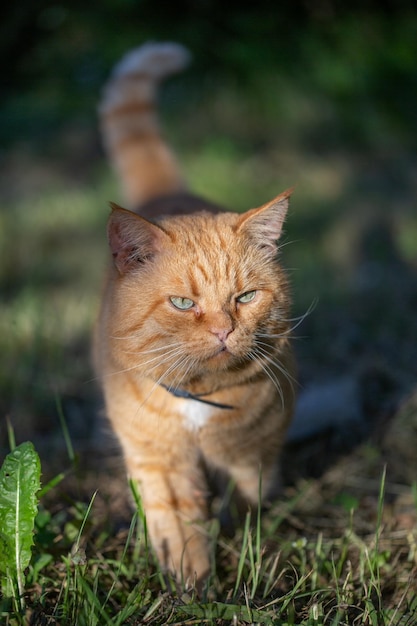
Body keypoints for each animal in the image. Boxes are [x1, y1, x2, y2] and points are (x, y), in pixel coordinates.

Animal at [95, 42, 296, 584]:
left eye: (244, 298)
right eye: (184, 303)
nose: (225, 330)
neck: (202, 400)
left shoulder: (255, 453)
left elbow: (249, 501)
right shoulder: (161, 462)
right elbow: (180, 525)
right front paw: (195, 582)